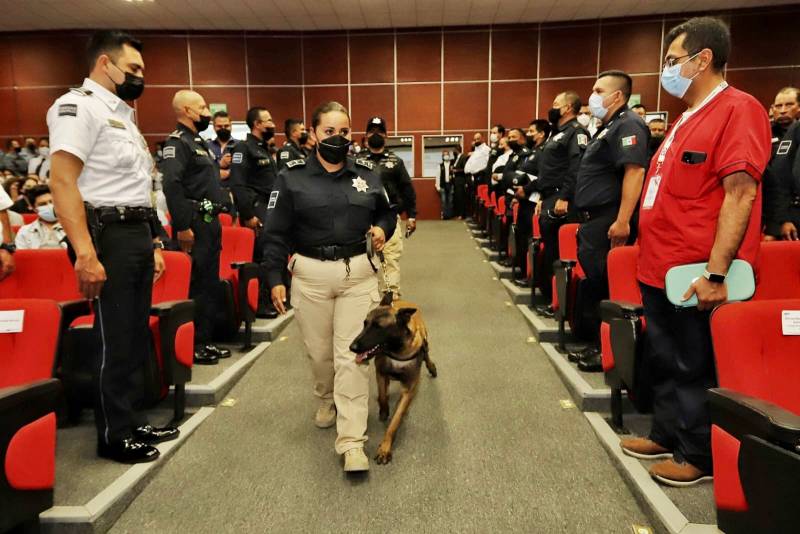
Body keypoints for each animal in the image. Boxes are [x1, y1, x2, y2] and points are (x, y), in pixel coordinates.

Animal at [350, 294, 438, 464]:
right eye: (365, 323)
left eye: (378, 327)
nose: (352, 348)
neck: (397, 352)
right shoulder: (381, 374)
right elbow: (383, 396)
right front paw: (384, 410)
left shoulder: (409, 390)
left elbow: (395, 421)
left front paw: (385, 448)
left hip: (426, 344)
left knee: (427, 355)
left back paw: (431, 367)